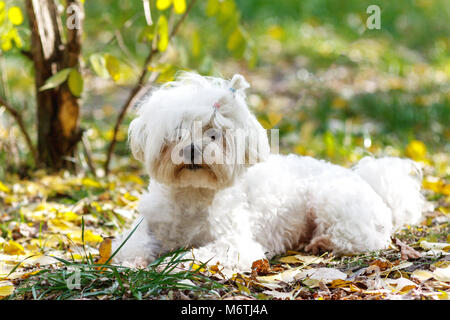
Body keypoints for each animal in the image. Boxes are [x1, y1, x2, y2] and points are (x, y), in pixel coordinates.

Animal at [112, 72, 426, 270]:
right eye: (178, 132)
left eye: (214, 135)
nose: (191, 149)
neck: (193, 191)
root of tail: (367, 179)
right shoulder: (146, 226)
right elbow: (130, 244)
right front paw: (132, 261)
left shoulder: (235, 242)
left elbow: (201, 253)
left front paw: (171, 263)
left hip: (331, 199)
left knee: (367, 238)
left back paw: (321, 242)